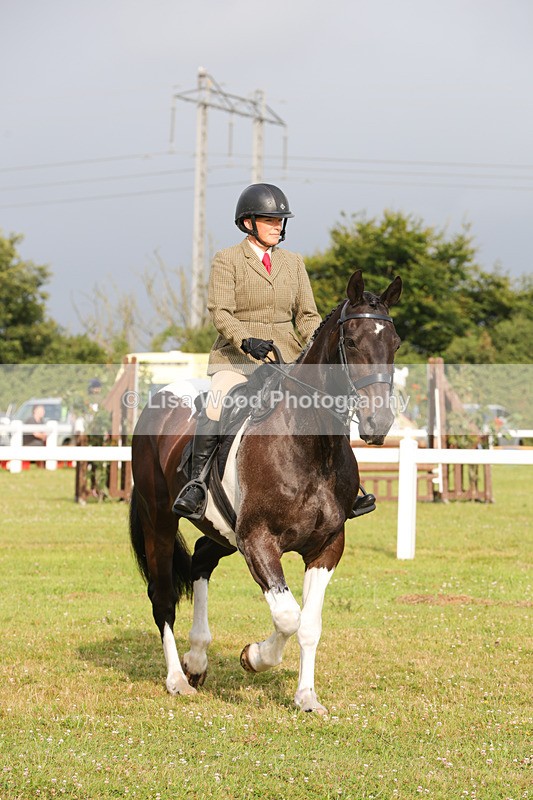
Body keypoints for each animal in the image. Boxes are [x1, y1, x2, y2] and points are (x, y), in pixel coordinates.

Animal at [129, 269, 402, 713]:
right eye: (351, 342)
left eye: (394, 343)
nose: (378, 423)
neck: (310, 447)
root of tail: (158, 399)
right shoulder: (257, 540)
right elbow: (288, 616)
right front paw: (254, 657)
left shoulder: (327, 546)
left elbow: (309, 623)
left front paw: (306, 697)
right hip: (161, 521)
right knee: (163, 596)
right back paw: (177, 679)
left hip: (222, 530)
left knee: (202, 560)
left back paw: (197, 658)